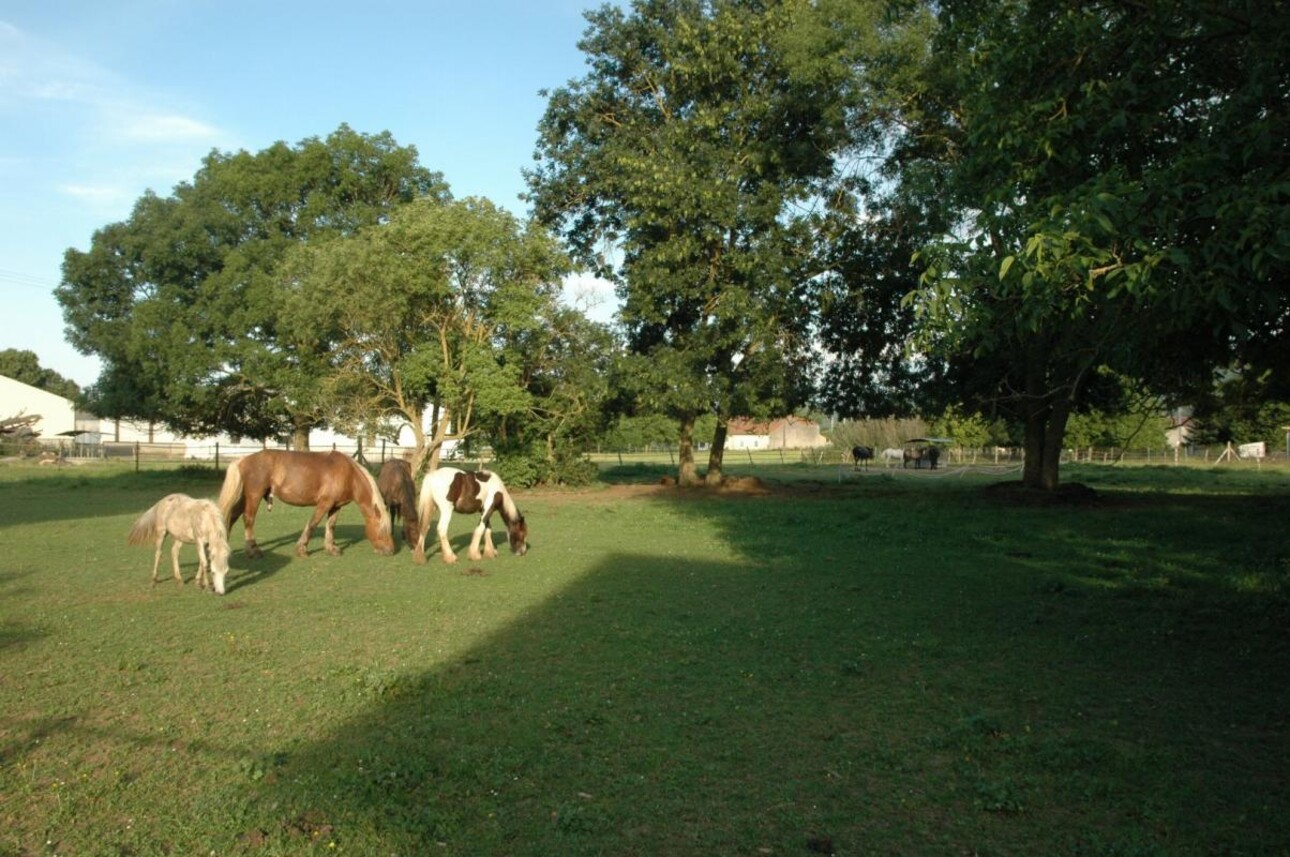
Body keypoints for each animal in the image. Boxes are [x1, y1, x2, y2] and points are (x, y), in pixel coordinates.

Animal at [216, 449, 392, 562]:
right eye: (382, 529)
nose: (390, 550)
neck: (348, 474)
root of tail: (243, 460)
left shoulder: (336, 506)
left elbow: (331, 526)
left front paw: (331, 549)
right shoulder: (324, 503)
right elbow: (313, 524)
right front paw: (302, 549)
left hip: (245, 497)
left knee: (232, 516)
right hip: (254, 495)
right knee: (248, 519)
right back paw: (253, 551)